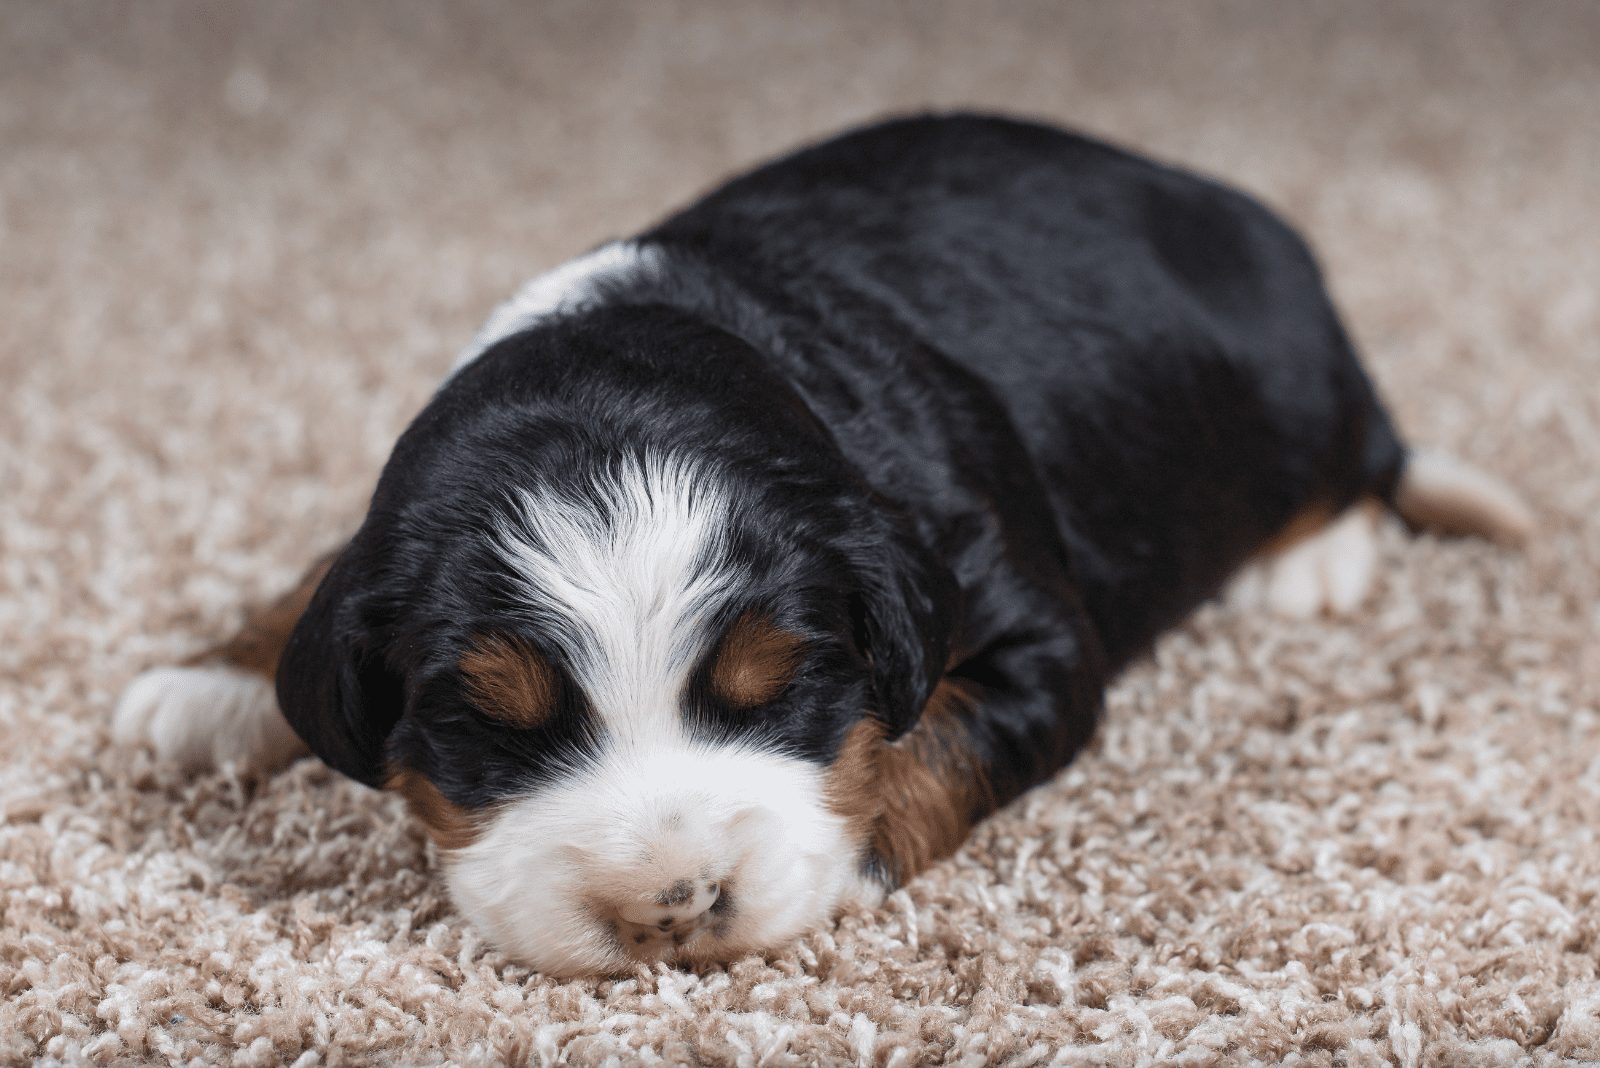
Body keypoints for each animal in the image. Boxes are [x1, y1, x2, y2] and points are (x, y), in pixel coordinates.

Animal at [106, 115, 1529, 978]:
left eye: (778, 688)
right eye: (489, 725)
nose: (671, 908)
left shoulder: (1020, 623)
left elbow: (934, 738)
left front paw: (838, 854)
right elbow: (326, 568)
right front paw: (220, 674)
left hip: (1301, 387)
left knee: (1359, 460)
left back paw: (1310, 560)